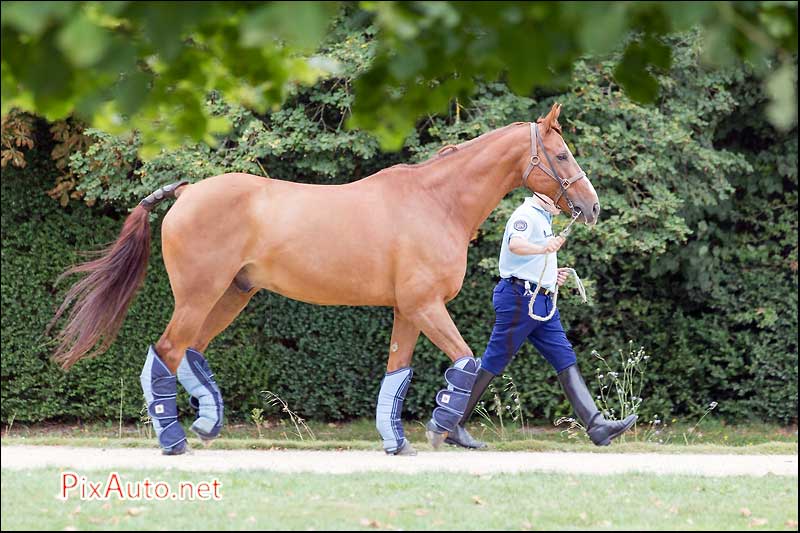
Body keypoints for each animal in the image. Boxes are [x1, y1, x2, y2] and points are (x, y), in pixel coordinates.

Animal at [50, 103, 596, 454]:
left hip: (231, 296)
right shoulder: (425, 306)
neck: (435, 202)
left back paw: (206, 424)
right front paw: (440, 428)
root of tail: (187, 192)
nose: (591, 207)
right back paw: (174, 441)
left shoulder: (409, 311)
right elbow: (466, 363)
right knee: (165, 351)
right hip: (198, 296)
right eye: (562, 155)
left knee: (188, 352)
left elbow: (397, 373)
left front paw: (397, 443)